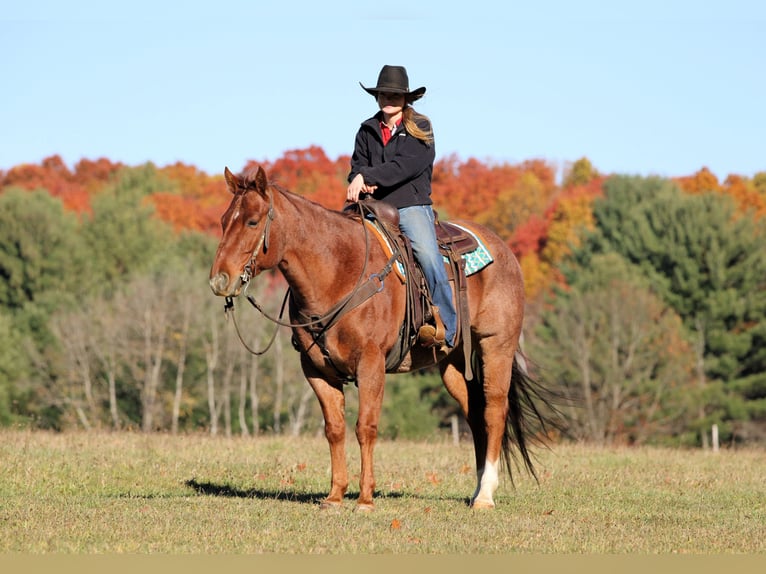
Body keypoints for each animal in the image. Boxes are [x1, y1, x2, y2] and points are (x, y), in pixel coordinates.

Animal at [209, 165, 557, 511]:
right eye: (224, 220)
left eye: (253, 221)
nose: (219, 280)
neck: (340, 270)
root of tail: (504, 250)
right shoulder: (316, 370)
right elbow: (335, 429)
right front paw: (335, 495)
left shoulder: (371, 363)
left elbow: (365, 427)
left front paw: (365, 498)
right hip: (452, 362)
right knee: (474, 413)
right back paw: (475, 491)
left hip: (497, 344)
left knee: (494, 410)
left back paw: (485, 495)